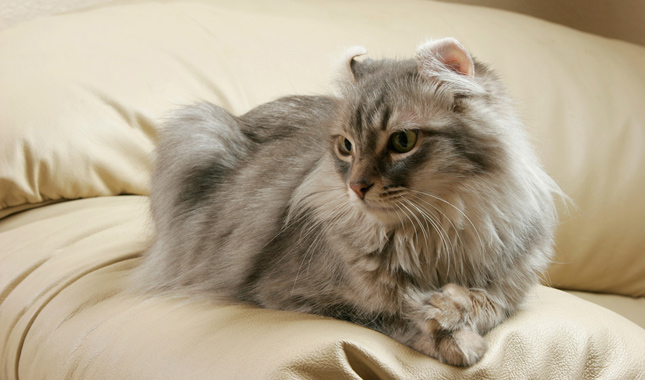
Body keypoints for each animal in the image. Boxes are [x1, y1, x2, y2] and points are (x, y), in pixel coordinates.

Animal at [135, 37, 560, 366]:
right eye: (346, 146)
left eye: (402, 141)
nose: (356, 187)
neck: (435, 231)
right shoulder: (289, 293)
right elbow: (388, 313)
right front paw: (454, 336)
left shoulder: (512, 291)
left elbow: (486, 303)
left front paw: (451, 308)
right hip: (197, 130)